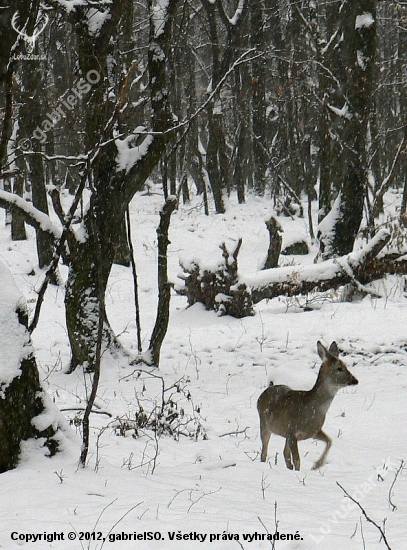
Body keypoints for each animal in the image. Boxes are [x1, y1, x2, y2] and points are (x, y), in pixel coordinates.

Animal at [260, 342, 358, 472]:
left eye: (346, 366)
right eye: (339, 368)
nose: (355, 380)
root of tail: (263, 394)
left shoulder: (313, 431)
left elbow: (330, 441)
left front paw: (317, 465)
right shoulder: (292, 431)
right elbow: (297, 460)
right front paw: (303, 470)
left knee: (285, 453)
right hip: (264, 424)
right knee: (264, 451)